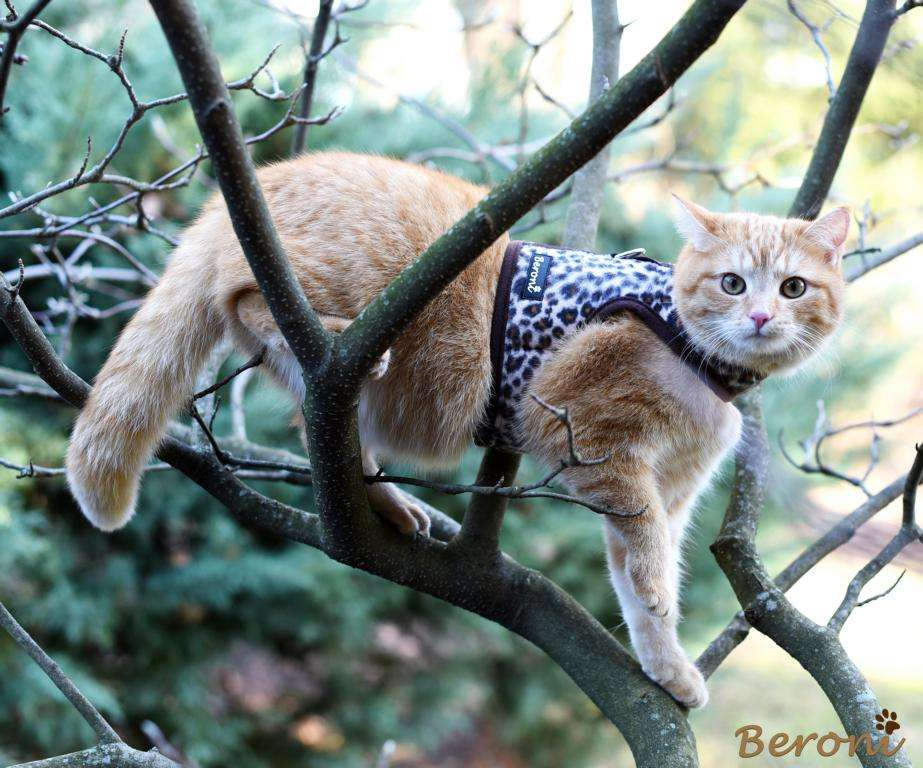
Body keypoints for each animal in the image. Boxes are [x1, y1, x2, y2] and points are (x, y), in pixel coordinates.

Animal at [65, 150, 848, 708]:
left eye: (792, 288)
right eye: (731, 283)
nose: (760, 317)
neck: (698, 356)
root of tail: (265, 178)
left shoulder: (668, 488)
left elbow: (635, 584)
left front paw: (665, 668)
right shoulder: (593, 442)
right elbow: (651, 559)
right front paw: (660, 608)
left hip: (340, 397)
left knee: (328, 438)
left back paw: (385, 501)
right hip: (331, 295)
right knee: (246, 297)